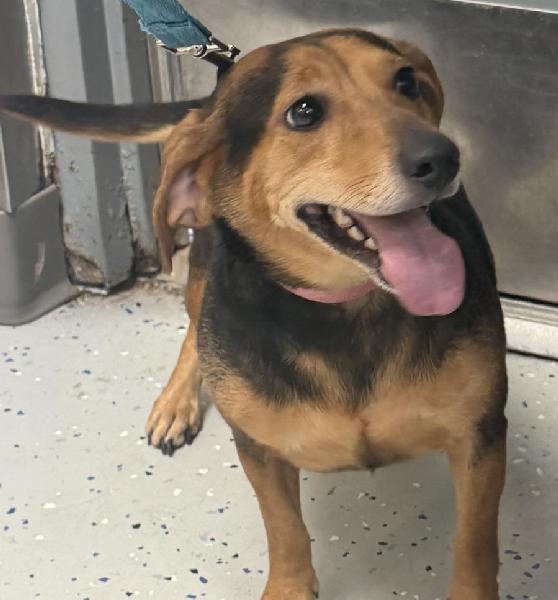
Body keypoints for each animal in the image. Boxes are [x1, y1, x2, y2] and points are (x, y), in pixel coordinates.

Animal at [1, 29, 508, 600]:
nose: (442, 158)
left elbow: (474, 543)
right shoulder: (260, 450)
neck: (345, 313)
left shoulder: (480, 436)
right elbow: (284, 530)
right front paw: (289, 587)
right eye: (304, 111)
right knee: (194, 328)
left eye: (406, 81)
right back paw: (176, 404)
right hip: (201, 265)